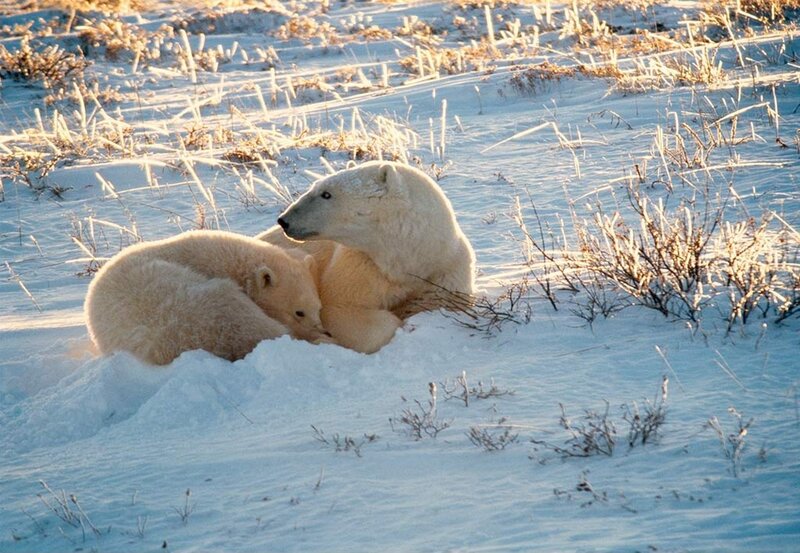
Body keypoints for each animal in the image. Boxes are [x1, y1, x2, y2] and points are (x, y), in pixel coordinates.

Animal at [257, 161, 476, 354]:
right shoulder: (360, 266)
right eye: (316, 187)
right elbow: (343, 309)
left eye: (326, 194)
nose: (284, 220)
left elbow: (441, 303)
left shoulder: (445, 270)